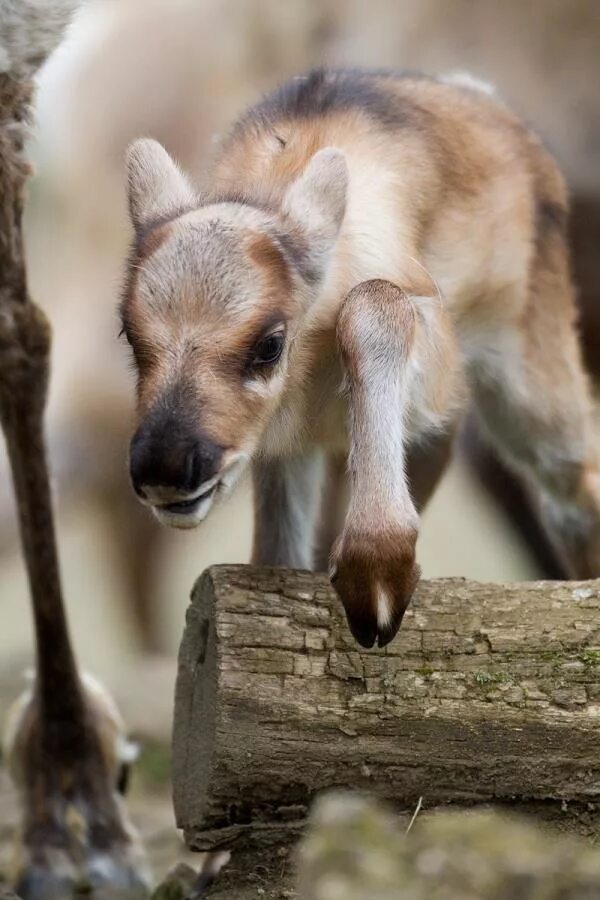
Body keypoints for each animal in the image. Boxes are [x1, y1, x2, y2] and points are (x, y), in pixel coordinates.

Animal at [119, 68, 600, 648]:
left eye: (270, 344)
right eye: (127, 332)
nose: (165, 468)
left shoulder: (436, 364)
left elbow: (373, 302)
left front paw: (377, 574)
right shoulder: (288, 450)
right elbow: (277, 557)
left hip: (533, 391)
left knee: (575, 487)